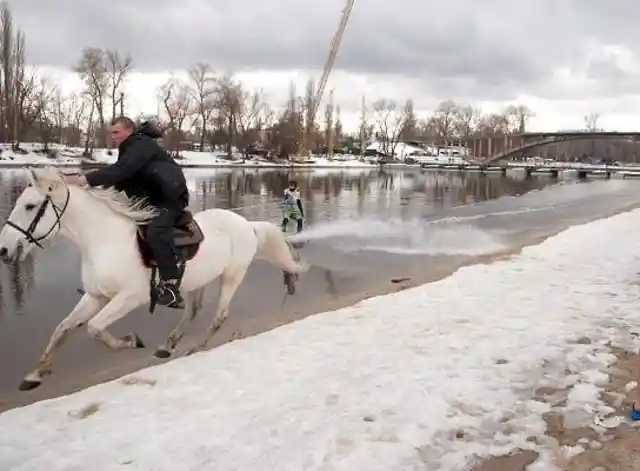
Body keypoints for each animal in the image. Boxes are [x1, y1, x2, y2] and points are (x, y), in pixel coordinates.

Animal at [0, 168, 308, 392]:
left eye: (30, 206)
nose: (4, 250)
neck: (105, 240)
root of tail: (248, 225)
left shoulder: (129, 297)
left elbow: (94, 328)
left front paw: (130, 341)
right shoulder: (95, 296)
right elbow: (63, 329)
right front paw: (36, 374)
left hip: (232, 276)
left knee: (219, 315)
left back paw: (195, 348)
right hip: (197, 282)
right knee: (192, 312)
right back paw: (168, 345)